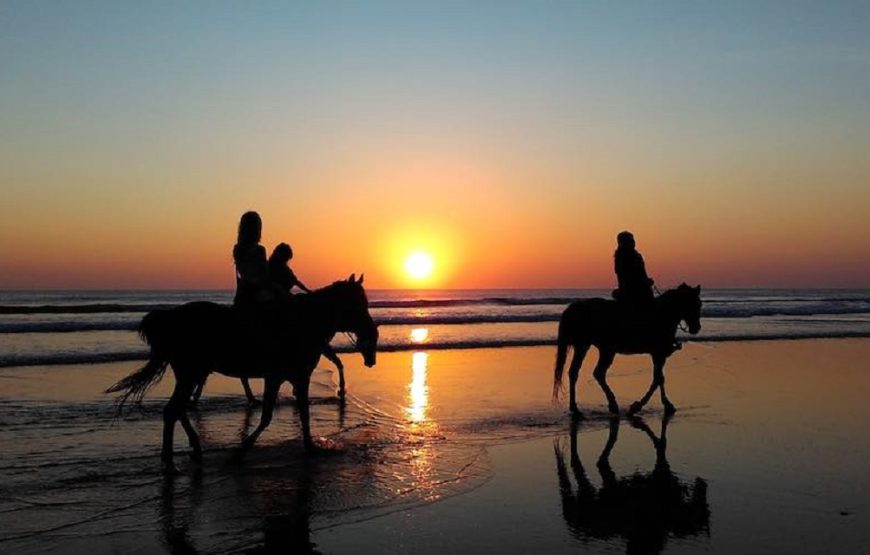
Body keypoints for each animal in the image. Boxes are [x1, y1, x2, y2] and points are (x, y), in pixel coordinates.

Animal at [105, 274, 378, 470]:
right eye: (358, 304)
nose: (372, 332)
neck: (302, 322)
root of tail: (170, 318)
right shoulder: (278, 377)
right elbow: (269, 416)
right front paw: (243, 449)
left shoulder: (297, 378)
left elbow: (303, 415)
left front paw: (310, 447)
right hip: (190, 373)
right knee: (173, 410)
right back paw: (173, 460)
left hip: (190, 374)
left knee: (177, 409)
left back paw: (190, 449)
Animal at [556, 284, 704, 420]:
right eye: (694, 303)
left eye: (699, 304)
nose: (696, 328)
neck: (663, 313)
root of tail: (575, 307)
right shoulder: (658, 354)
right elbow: (658, 379)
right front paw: (637, 406)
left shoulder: (658, 355)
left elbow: (660, 378)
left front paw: (666, 404)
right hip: (599, 348)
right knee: (596, 372)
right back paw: (611, 405)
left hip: (589, 347)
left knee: (576, 372)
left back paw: (576, 408)